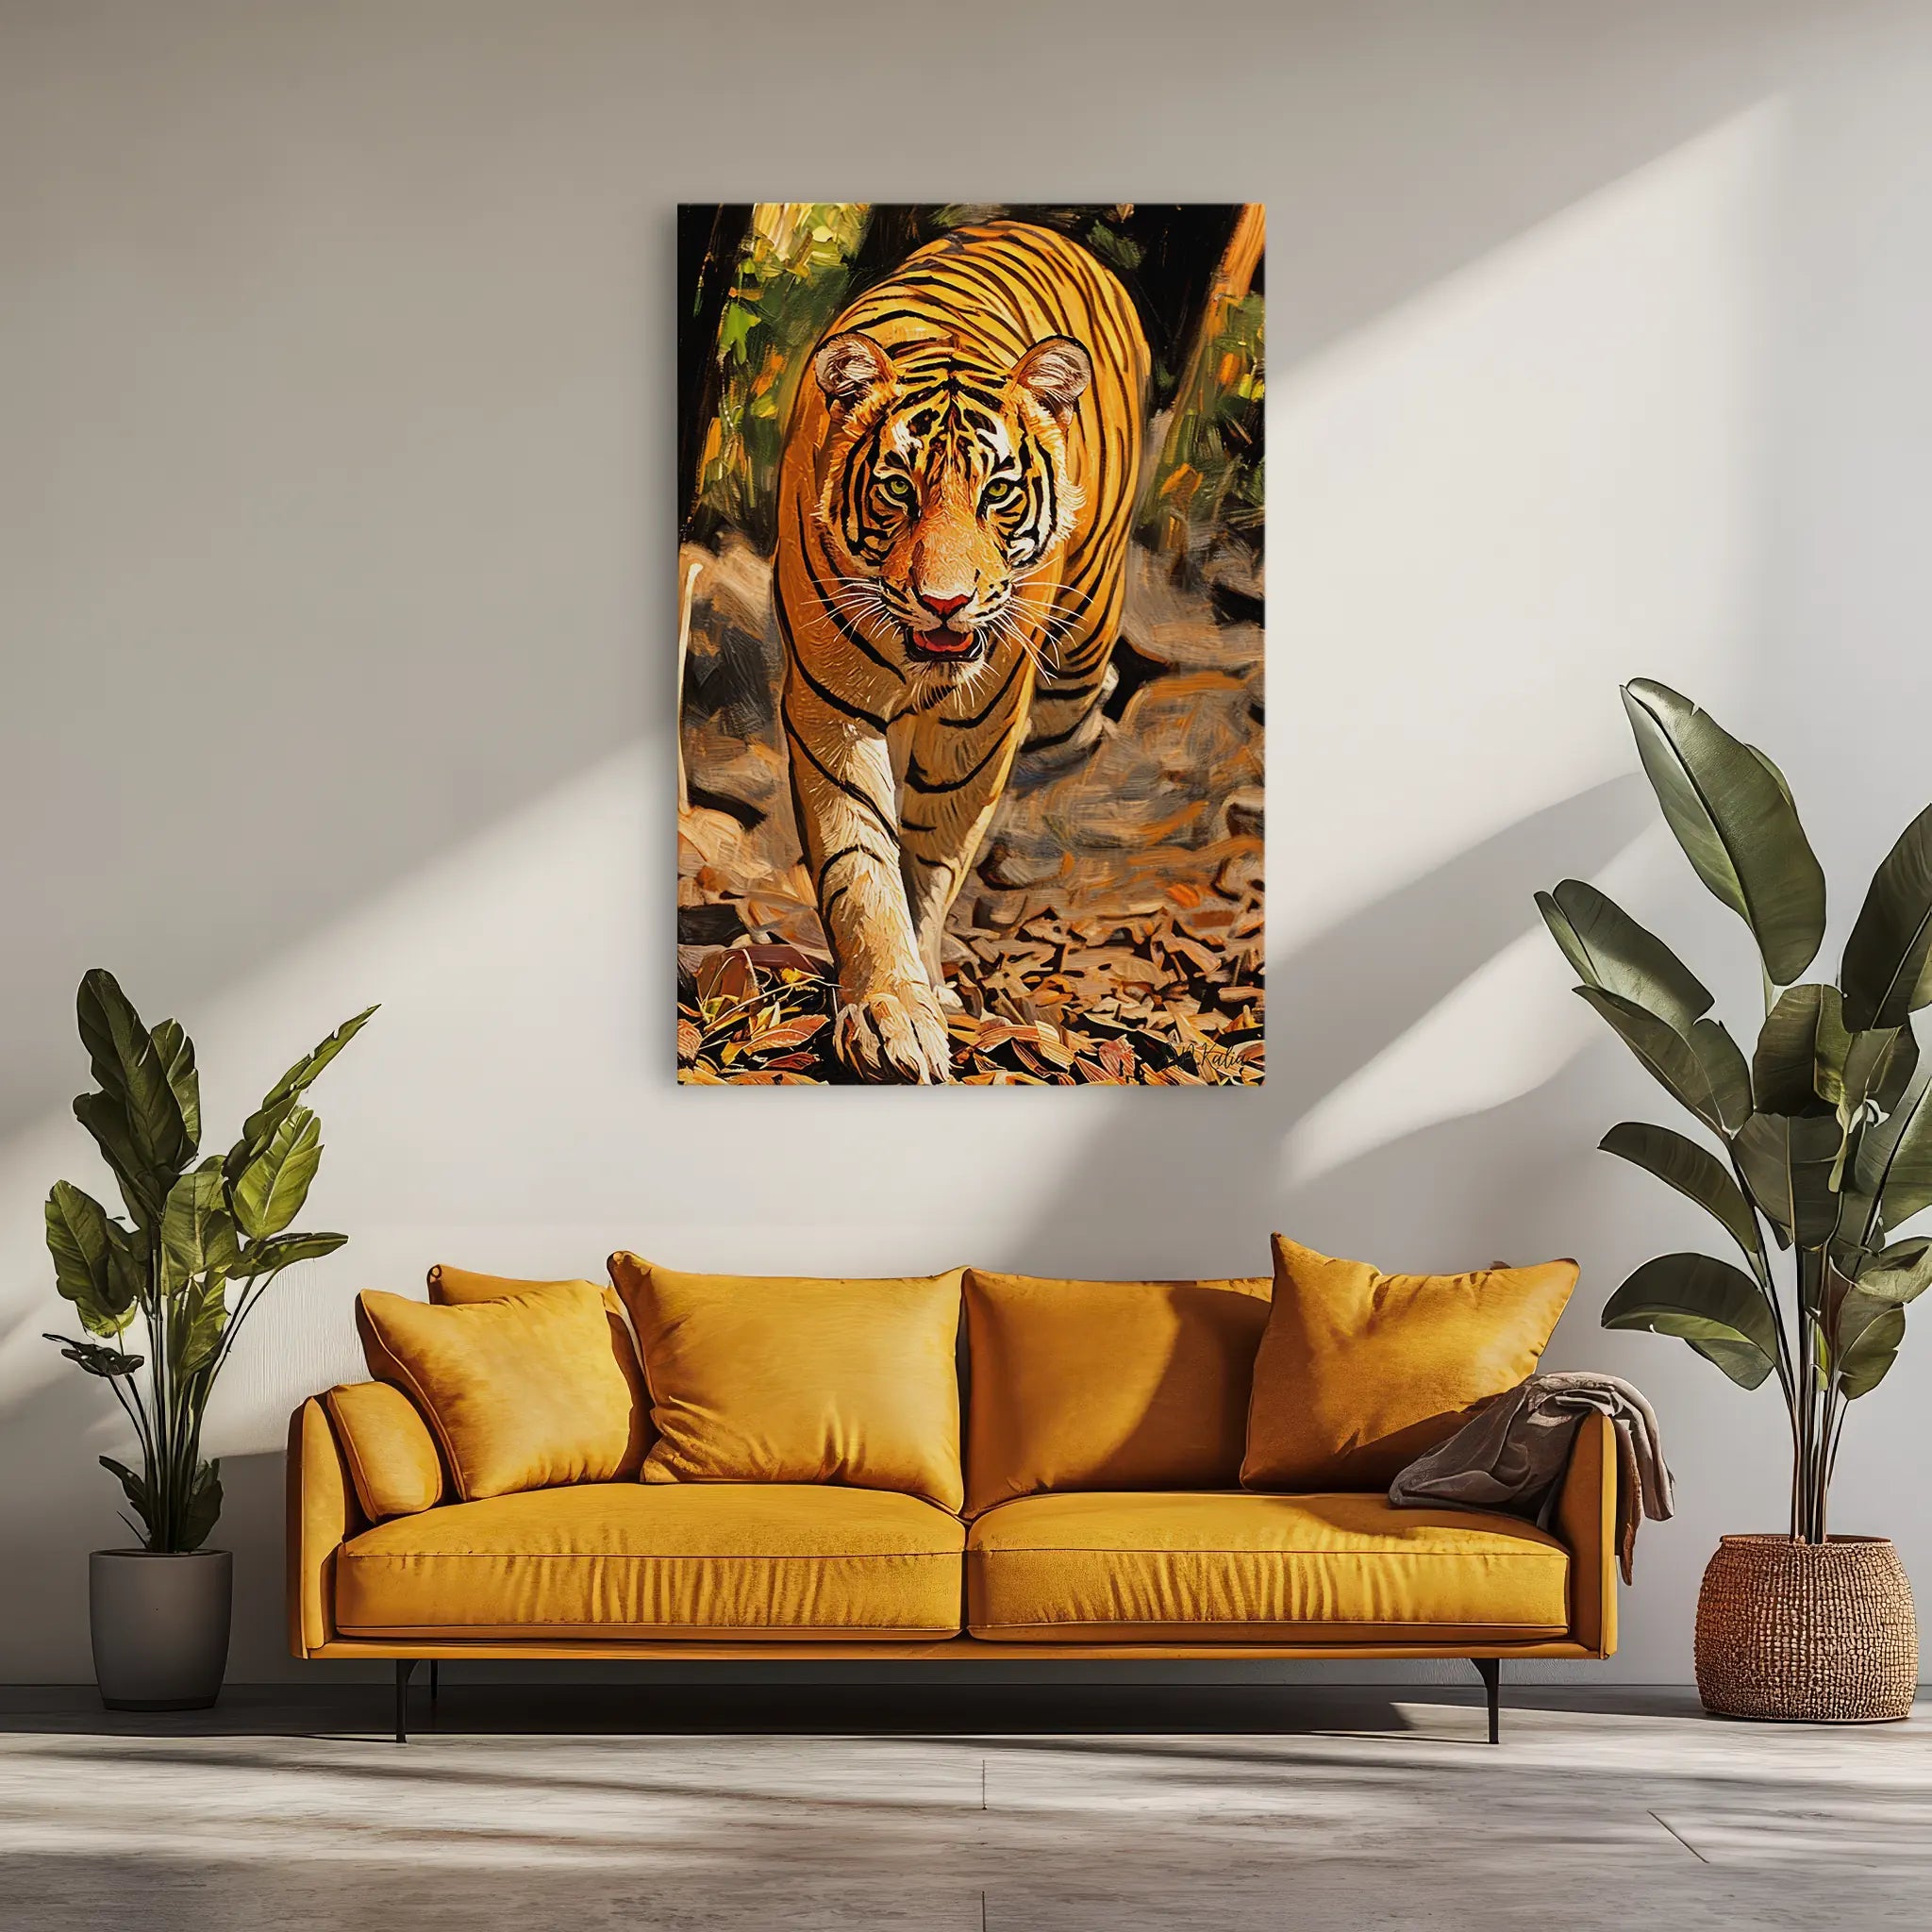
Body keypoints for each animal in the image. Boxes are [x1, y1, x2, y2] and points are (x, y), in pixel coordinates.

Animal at [774, 220, 1149, 1083]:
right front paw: (890, 1010)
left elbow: (932, 854)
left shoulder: (981, 719)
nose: (944, 601)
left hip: (1082, 646)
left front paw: (923, 980)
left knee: (1082, 716)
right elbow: (859, 860)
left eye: (998, 492)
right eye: (898, 490)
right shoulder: (830, 707)